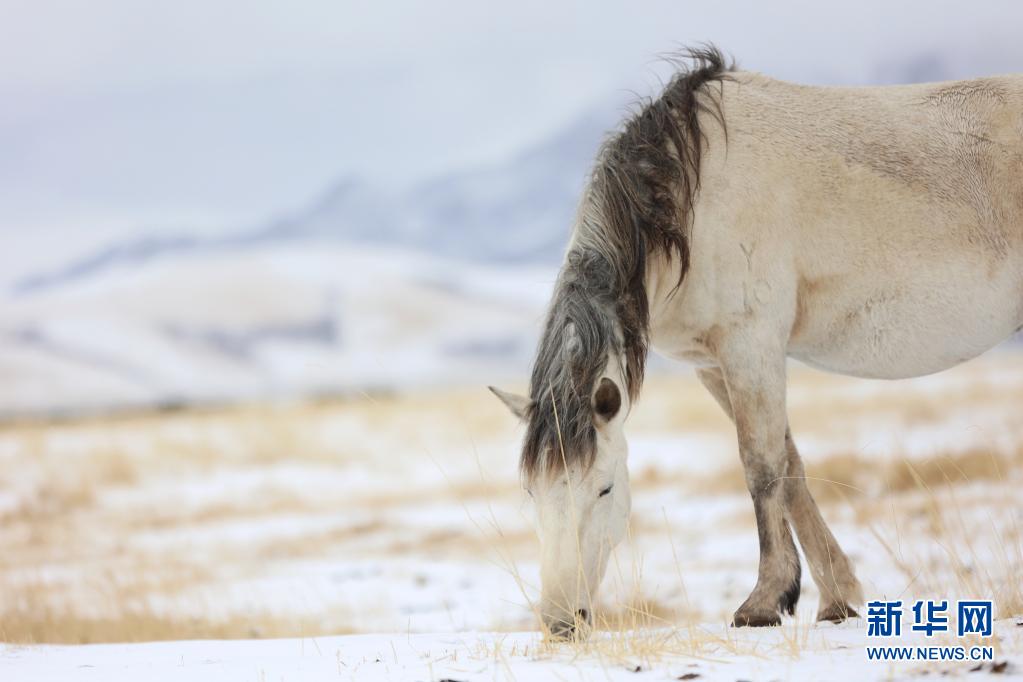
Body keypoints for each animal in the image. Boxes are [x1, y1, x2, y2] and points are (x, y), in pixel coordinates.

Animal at [491, 49, 1018, 642]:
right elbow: (791, 469)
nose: (561, 621)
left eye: (604, 489)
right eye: (532, 493)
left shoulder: (751, 344)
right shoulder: (714, 364)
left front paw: (764, 601)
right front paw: (835, 598)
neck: (688, 204)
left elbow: (762, 466)